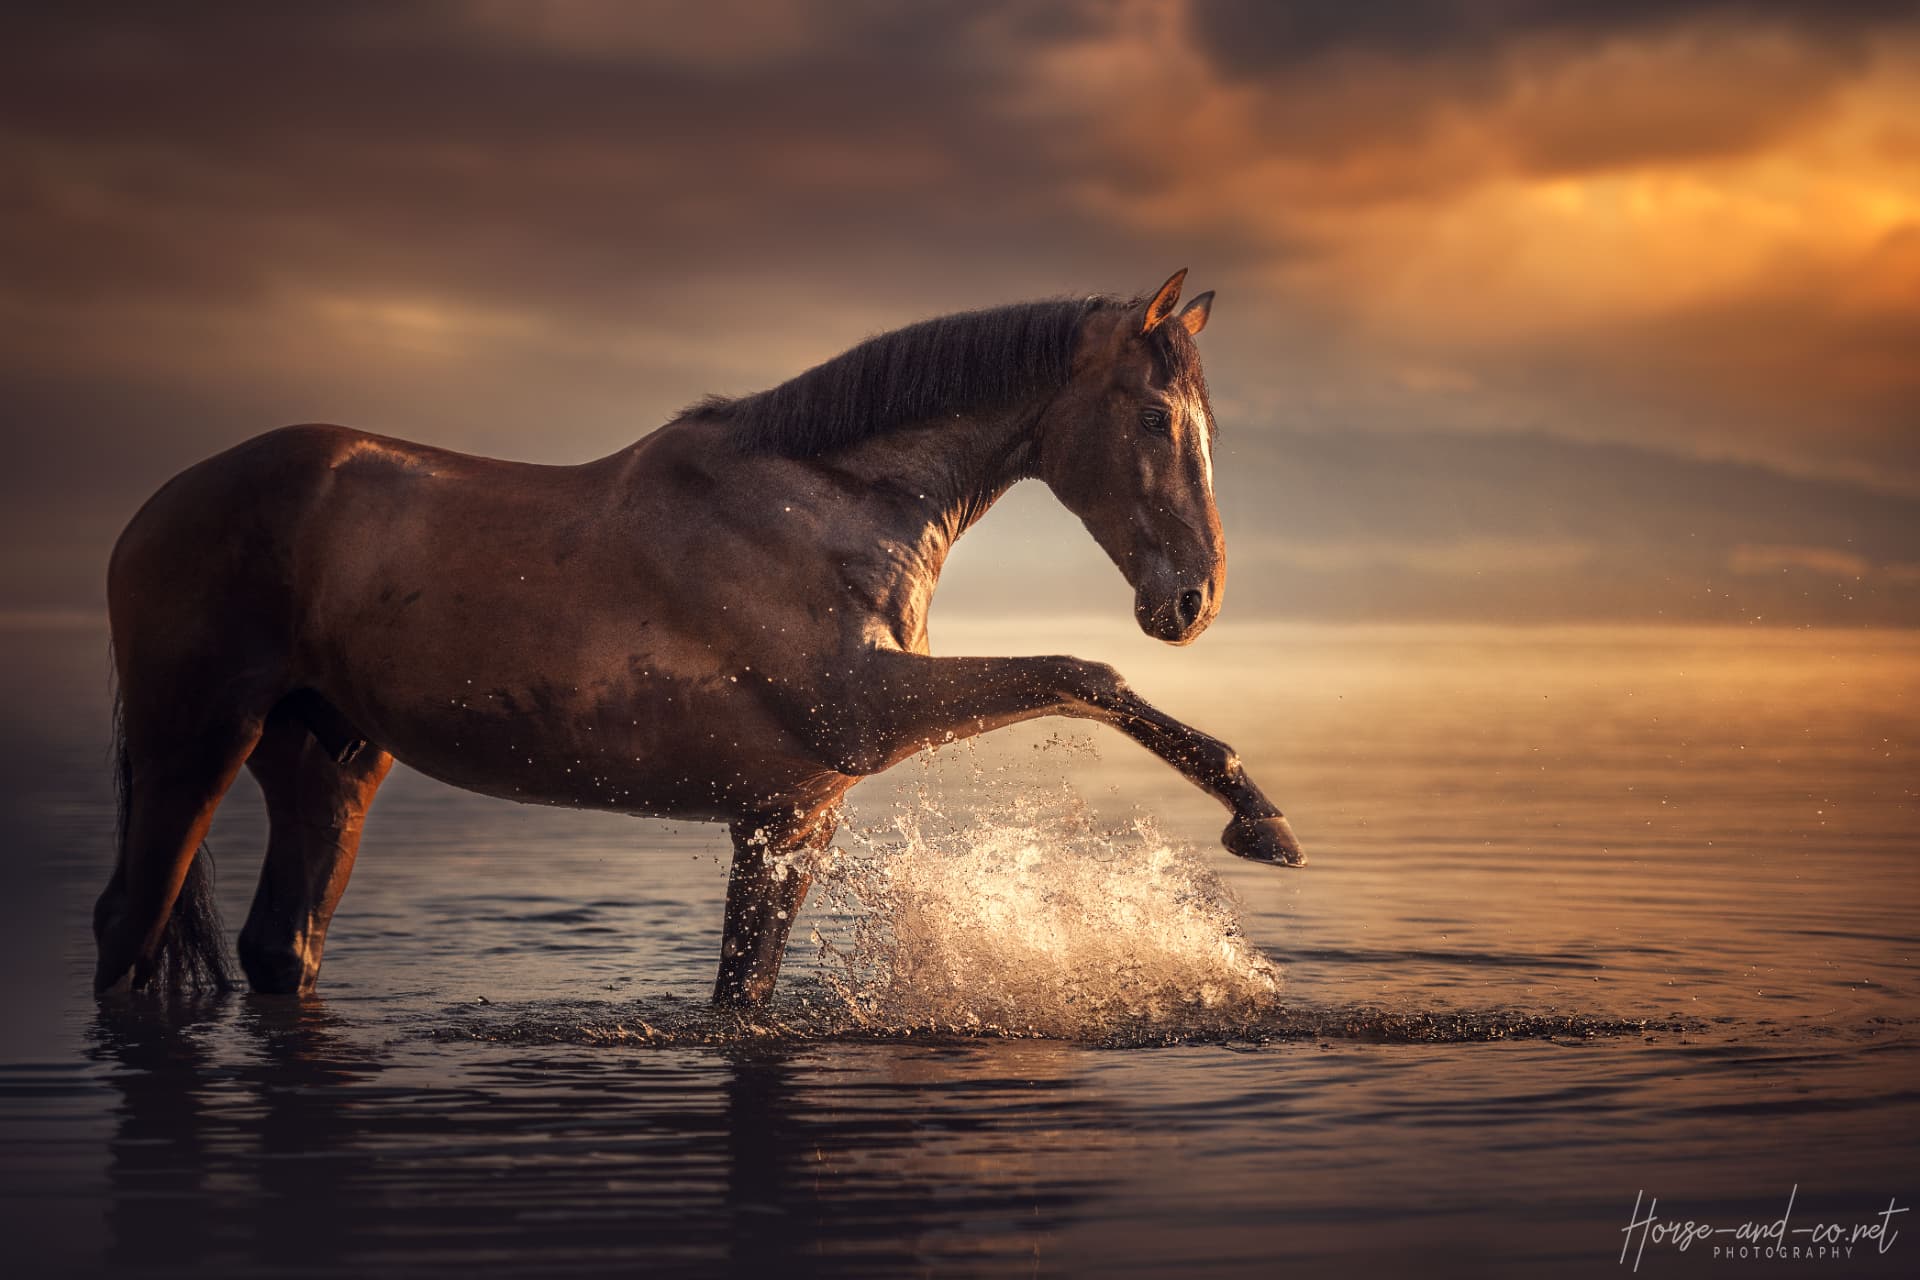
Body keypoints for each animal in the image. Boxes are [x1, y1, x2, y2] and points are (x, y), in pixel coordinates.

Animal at [92, 268, 1306, 1007]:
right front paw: (1259, 816)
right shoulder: (861, 710)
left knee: (279, 945)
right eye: (1154, 418)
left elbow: (742, 998)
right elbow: (1081, 671)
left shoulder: (790, 811)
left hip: (330, 760)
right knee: (128, 926)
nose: (1193, 599)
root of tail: (157, 507)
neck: (828, 499)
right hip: (195, 742)